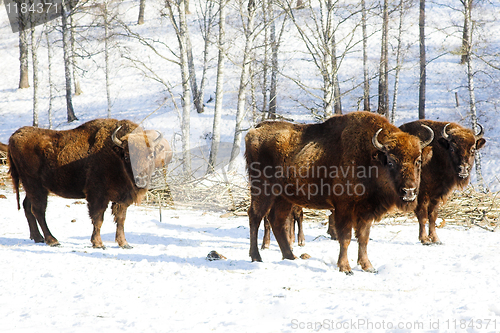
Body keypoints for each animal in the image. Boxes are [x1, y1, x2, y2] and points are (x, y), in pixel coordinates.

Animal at [6, 118, 172, 248]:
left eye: (151, 155)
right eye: (126, 156)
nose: (141, 179)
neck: (114, 154)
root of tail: (15, 136)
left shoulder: (122, 199)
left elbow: (120, 220)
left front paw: (124, 244)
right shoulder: (98, 195)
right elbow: (98, 219)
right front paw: (98, 244)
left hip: (33, 188)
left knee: (28, 206)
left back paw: (38, 238)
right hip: (35, 186)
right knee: (38, 210)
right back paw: (52, 240)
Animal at [246, 110, 434, 274]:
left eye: (418, 160)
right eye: (391, 161)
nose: (409, 191)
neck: (370, 158)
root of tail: (254, 130)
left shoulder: (366, 211)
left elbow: (363, 237)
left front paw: (368, 266)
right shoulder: (344, 207)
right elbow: (345, 237)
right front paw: (345, 268)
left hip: (284, 197)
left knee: (276, 221)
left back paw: (290, 257)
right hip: (262, 190)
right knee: (255, 216)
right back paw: (256, 257)